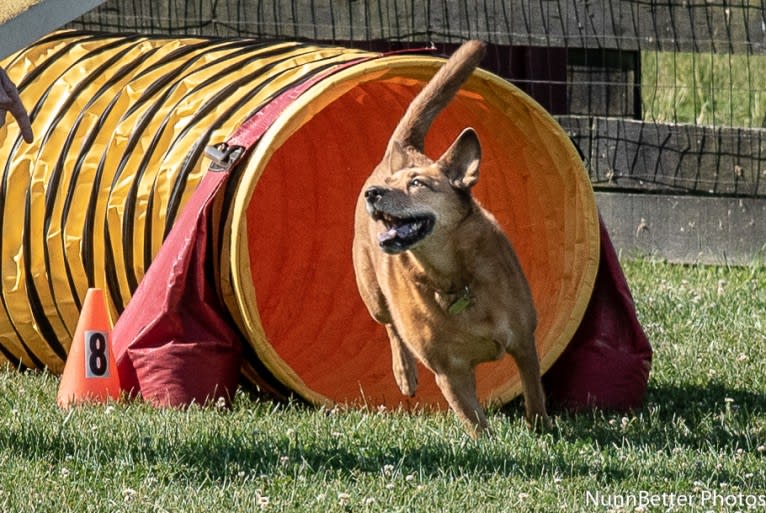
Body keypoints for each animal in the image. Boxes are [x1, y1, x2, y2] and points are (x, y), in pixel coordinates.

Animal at [354, 39, 552, 436]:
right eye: (392, 184)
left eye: (417, 183)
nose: (373, 193)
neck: (454, 277)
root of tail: (406, 151)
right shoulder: (450, 372)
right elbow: (475, 422)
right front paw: (490, 444)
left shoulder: (524, 341)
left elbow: (534, 393)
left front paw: (542, 429)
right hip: (373, 294)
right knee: (391, 327)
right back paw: (404, 374)